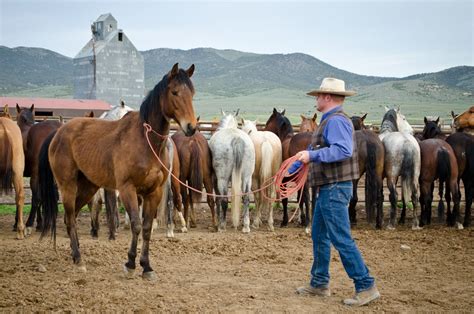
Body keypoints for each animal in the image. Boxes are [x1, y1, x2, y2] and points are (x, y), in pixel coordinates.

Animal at [39, 62, 198, 278]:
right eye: (174, 92)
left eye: (192, 93)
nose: (191, 127)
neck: (146, 141)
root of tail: (59, 132)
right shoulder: (127, 189)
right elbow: (136, 225)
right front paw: (130, 264)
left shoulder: (153, 192)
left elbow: (147, 227)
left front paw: (146, 266)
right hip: (68, 186)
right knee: (70, 218)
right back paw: (79, 259)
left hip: (88, 187)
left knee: (69, 217)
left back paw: (75, 254)